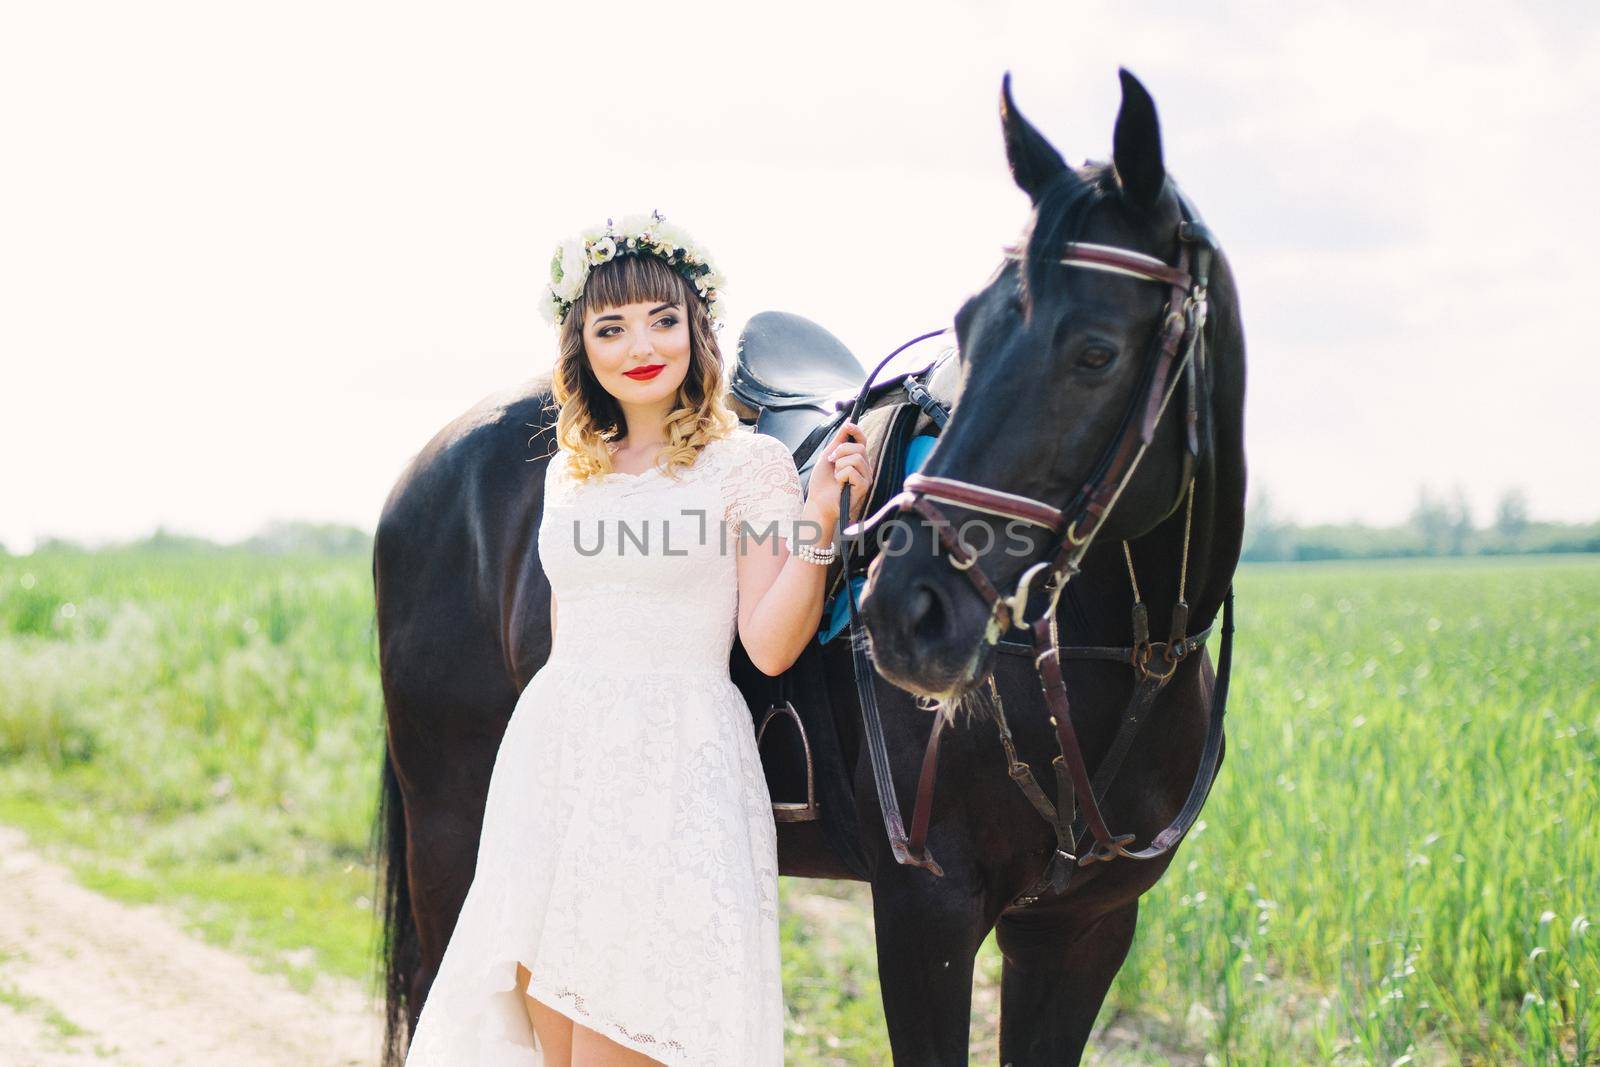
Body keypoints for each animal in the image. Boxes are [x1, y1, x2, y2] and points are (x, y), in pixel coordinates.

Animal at [371, 68, 1235, 1067]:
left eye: (1096, 350)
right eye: (969, 329)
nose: (908, 613)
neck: (1119, 657)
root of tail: (426, 466)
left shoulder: (1082, 928)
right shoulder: (926, 911)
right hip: (450, 821)